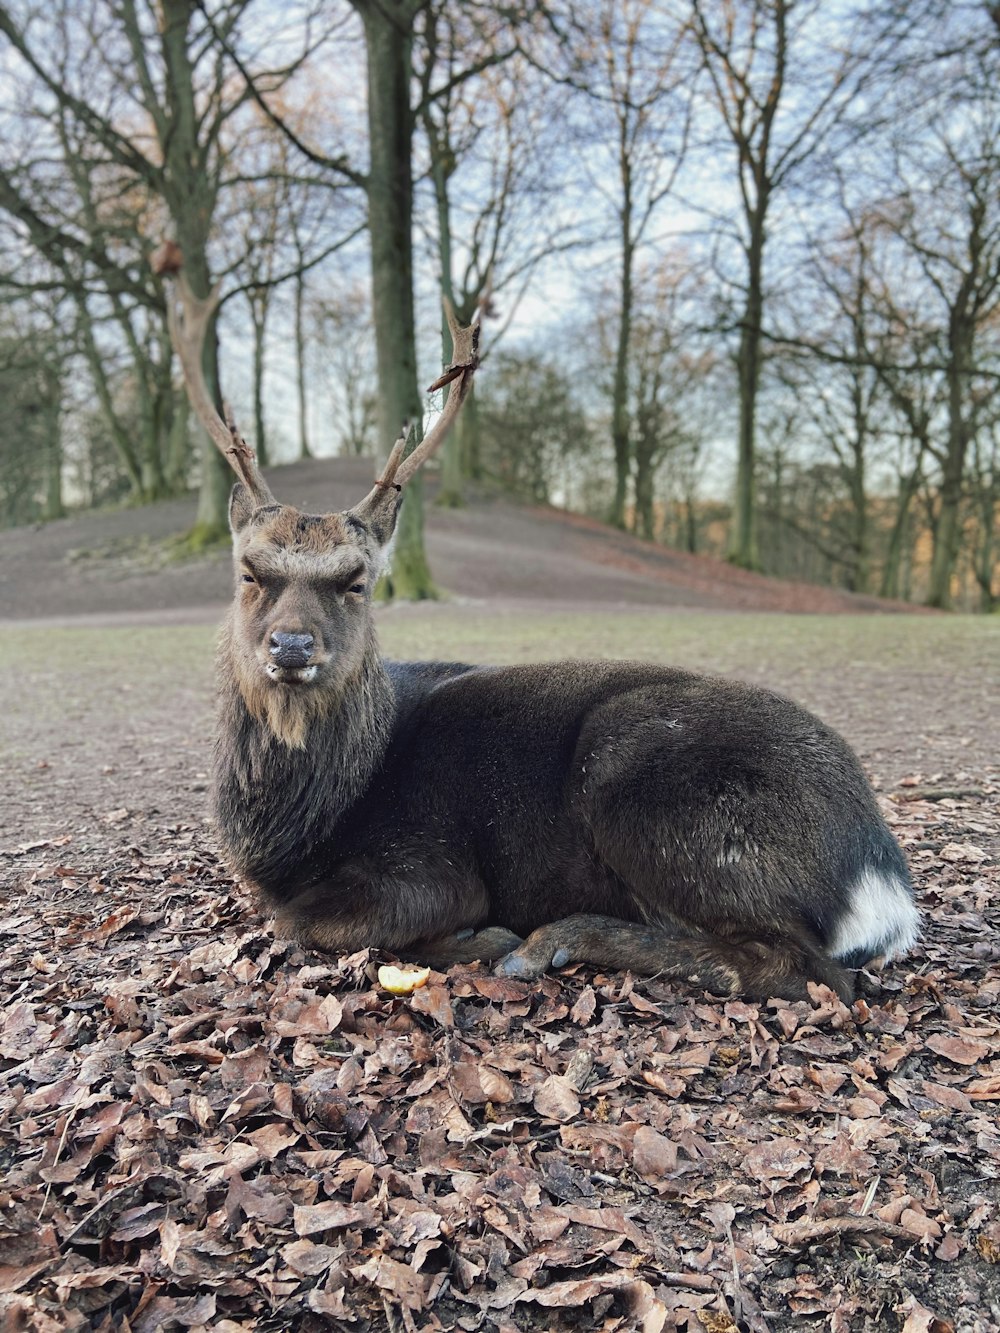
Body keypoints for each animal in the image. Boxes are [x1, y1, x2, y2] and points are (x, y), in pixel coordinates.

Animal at [166, 265, 922, 1002]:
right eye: (248, 572)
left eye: (357, 580)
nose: (292, 647)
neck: (305, 831)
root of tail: (883, 882)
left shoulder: (429, 862)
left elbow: (304, 921)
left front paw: (481, 937)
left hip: (646, 790)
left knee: (804, 970)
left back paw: (546, 942)